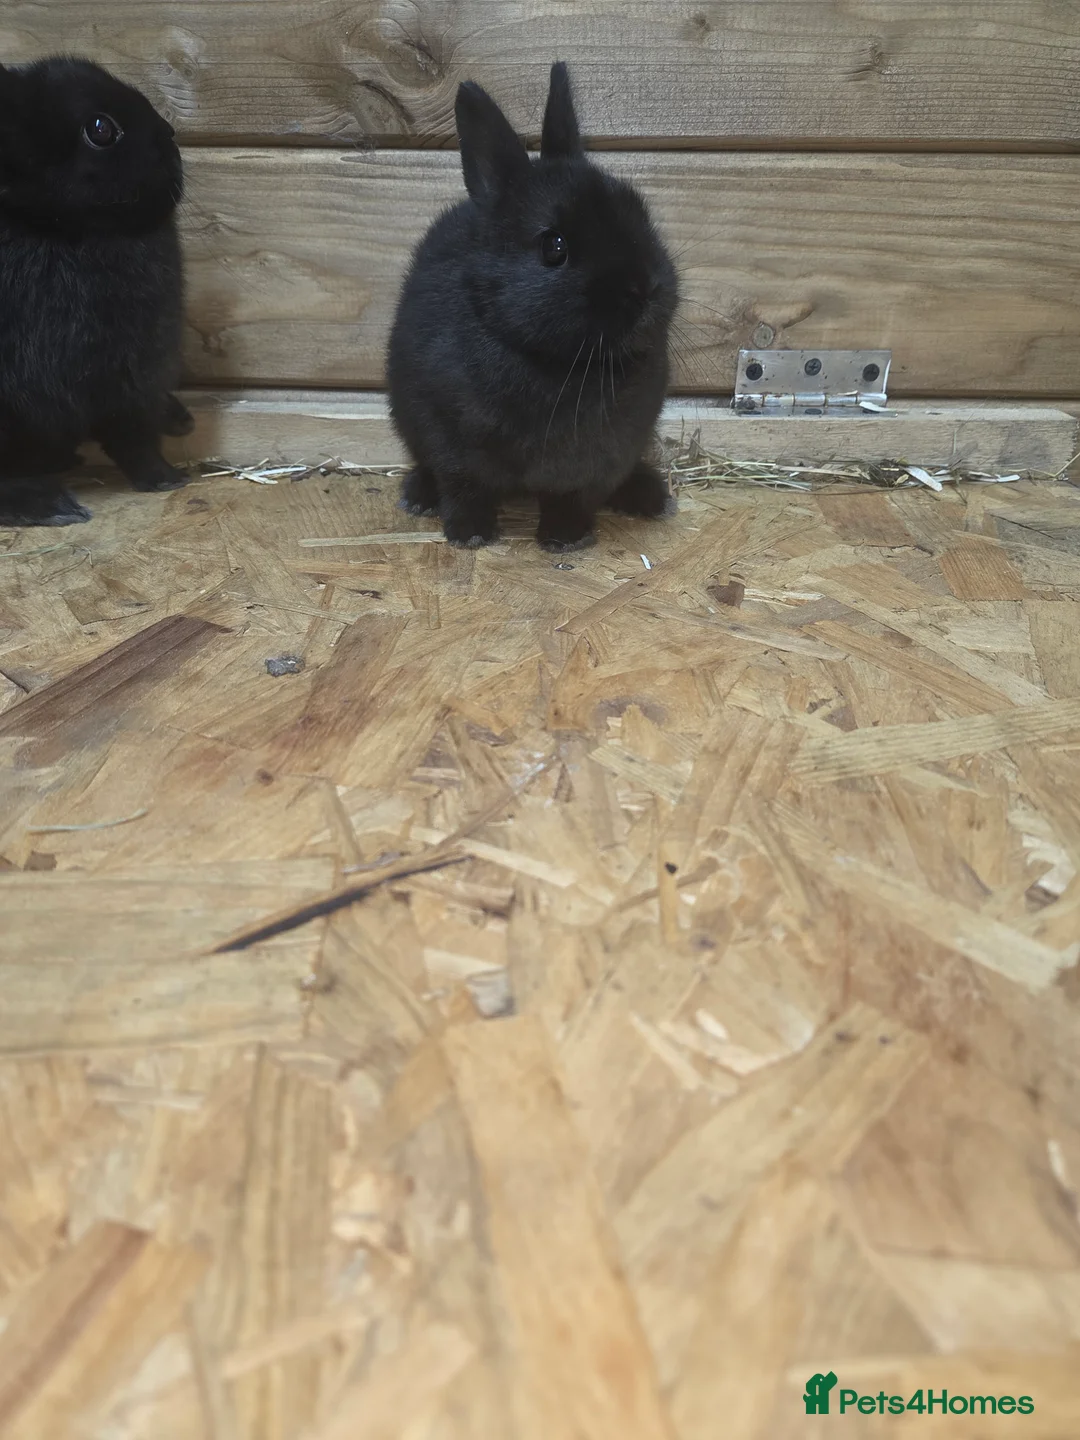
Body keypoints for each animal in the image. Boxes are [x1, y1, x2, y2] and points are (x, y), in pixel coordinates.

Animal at [387, 62, 678, 552]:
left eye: (639, 214)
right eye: (554, 246)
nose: (646, 289)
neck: (561, 365)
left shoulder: (602, 458)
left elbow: (575, 497)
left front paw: (565, 538)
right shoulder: (450, 439)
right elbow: (463, 486)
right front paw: (469, 534)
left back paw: (652, 497)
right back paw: (419, 497)